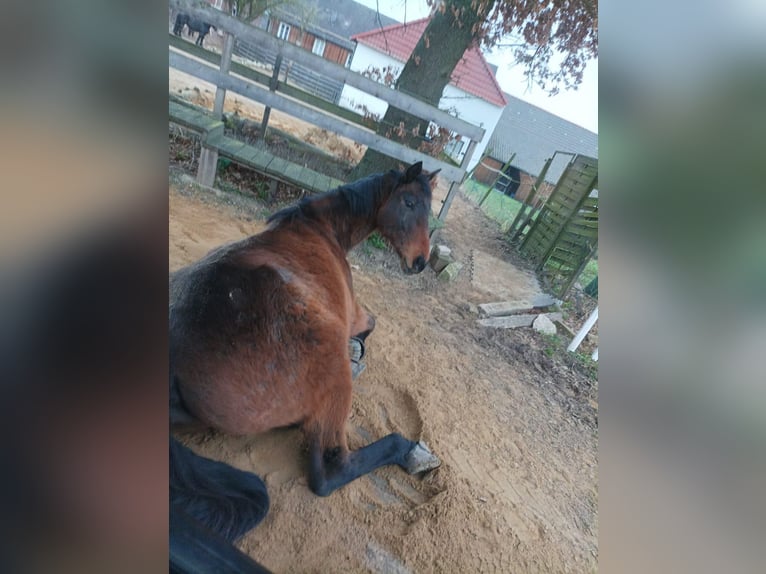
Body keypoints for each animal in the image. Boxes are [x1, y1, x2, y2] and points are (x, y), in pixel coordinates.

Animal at [170, 161, 442, 544]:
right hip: (330, 363)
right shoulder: (354, 314)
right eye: (409, 202)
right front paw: (357, 351)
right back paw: (408, 449)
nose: (419, 262)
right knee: (330, 472)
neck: (322, 228)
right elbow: (371, 324)